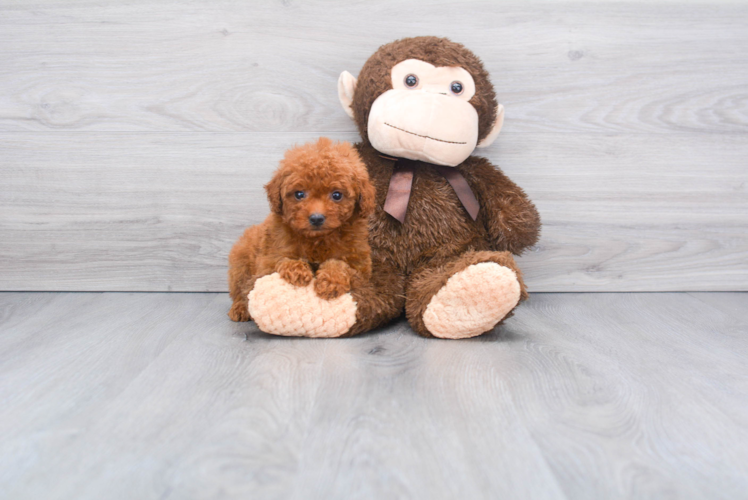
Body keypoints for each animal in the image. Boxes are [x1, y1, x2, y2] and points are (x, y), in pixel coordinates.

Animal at [226, 139, 374, 322]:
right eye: (299, 194)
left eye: (337, 195)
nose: (316, 218)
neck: (317, 239)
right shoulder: (267, 262)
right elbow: (282, 260)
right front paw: (297, 270)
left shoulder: (360, 268)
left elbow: (341, 265)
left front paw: (329, 282)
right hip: (240, 262)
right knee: (240, 289)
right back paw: (239, 308)